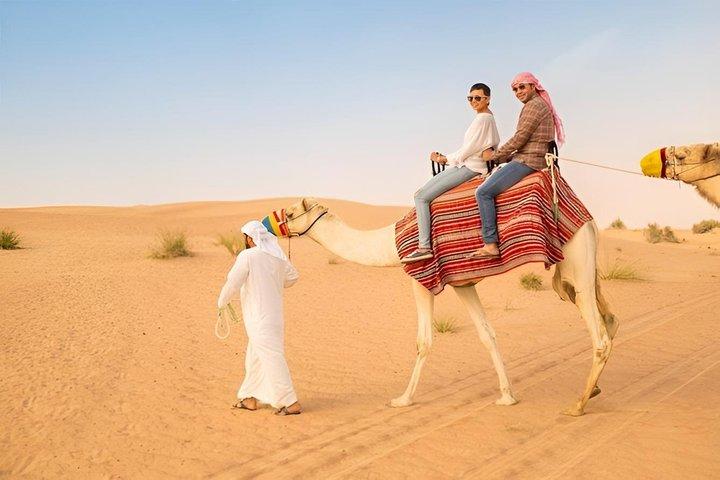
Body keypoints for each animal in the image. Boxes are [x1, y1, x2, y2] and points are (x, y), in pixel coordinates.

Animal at [283, 198, 618, 416]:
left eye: (289, 212)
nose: (275, 223)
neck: (391, 244)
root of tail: (589, 219)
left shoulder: (421, 279)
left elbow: (424, 341)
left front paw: (402, 399)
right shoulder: (463, 284)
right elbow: (487, 334)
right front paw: (507, 396)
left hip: (576, 263)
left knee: (599, 335)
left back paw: (578, 404)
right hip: (582, 271)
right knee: (611, 319)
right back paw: (595, 389)